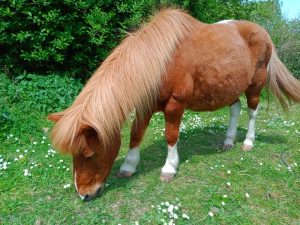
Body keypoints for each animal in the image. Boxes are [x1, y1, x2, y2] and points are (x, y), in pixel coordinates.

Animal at [48, 8, 300, 200]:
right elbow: (136, 134)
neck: (161, 62)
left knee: (252, 112)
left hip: (255, 85)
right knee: (235, 109)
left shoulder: (174, 105)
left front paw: (169, 168)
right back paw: (228, 141)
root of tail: (263, 32)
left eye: (88, 154)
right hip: (229, 87)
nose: (84, 195)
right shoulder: (145, 105)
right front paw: (128, 166)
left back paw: (248, 142)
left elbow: (171, 136)